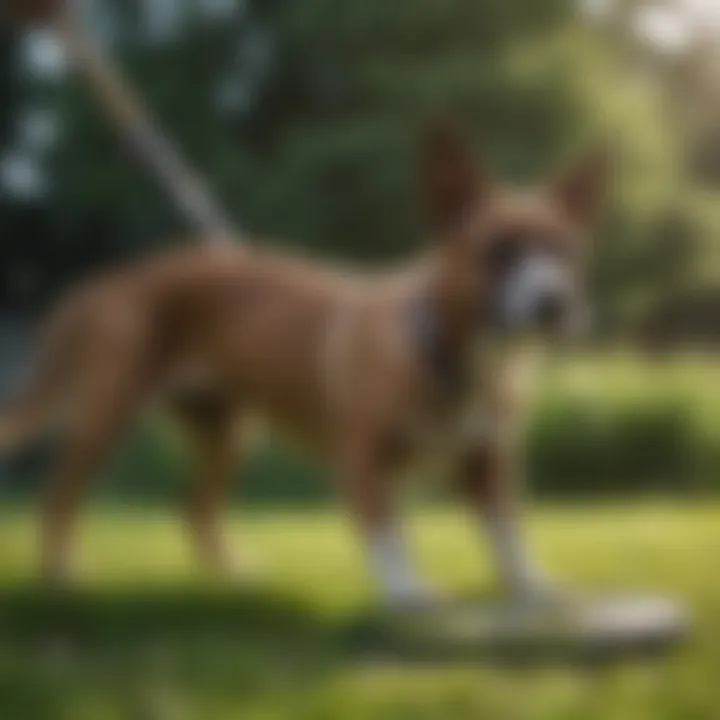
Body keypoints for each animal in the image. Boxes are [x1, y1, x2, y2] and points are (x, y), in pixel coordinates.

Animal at [0, 125, 604, 608]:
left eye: (565, 251)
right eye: (500, 250)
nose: (555, 303)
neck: (445, 354)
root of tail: (113, 278)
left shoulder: (489, 462)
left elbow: (508, 533)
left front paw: (531, 588)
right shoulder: (364, 459)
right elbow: (389, 533)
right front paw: (407, 592)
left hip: (230, 435)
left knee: (194, 508)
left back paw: (230, 576)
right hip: (106, 419)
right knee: (59, 494)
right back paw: (60, 573)